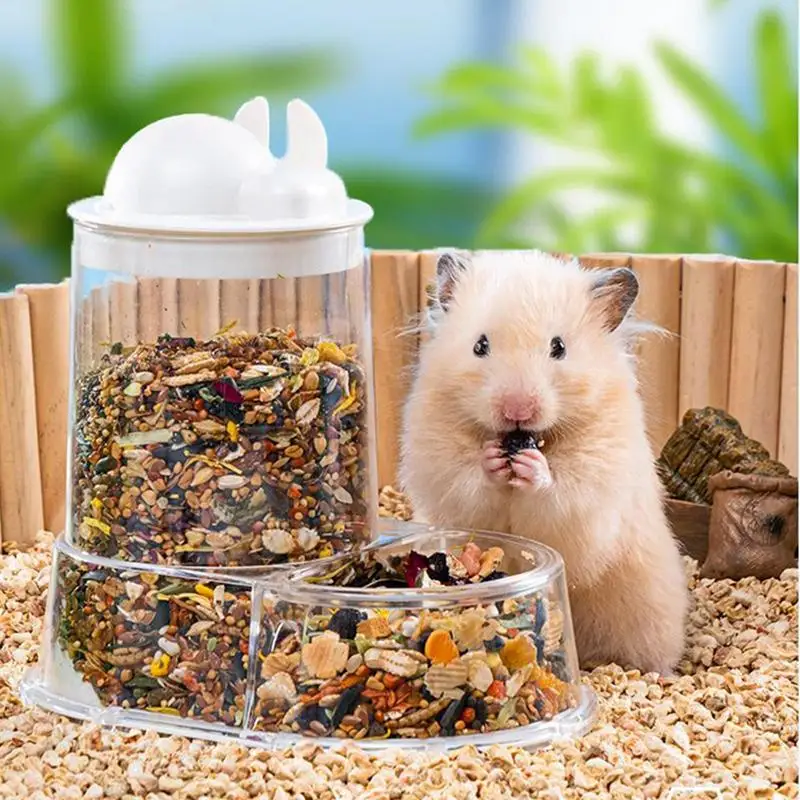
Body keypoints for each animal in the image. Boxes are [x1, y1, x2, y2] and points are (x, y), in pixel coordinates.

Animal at [400, 250, 688, 674]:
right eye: (480, 345)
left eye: (559, 347)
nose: (517, 409)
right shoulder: (439, 458)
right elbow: (470, 481)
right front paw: (491, 460)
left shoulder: (594, 481)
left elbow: (557, 495)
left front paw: (534, 469)